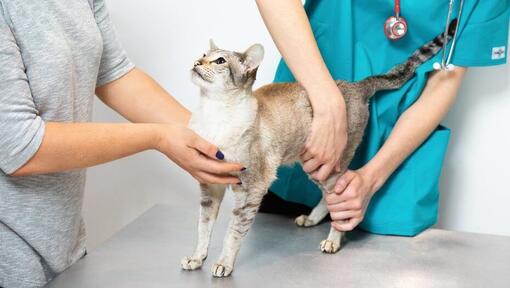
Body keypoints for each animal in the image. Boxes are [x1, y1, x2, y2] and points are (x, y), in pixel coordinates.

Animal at [181, 19, 456, 276]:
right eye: (203, 55)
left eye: (219, 61)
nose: (196, 62)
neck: (214, 116)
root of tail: (356, 85)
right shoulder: (210, 186)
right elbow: (203, 227)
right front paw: (197, 258)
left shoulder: (252, 188)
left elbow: (233, 232)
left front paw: (224, 264)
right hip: (315, 166)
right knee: (328, 196)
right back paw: (312, 219)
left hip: (330, 163)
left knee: (340, 199)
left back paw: (333, 240)